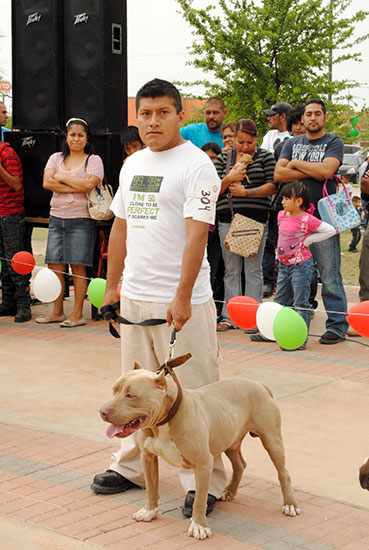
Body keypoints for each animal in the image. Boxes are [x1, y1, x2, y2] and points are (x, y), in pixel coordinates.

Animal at [98, 356, 300, 540]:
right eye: (114, 390)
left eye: (131, 395)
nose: (102, 411)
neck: (165, 420)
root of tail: (260, 385)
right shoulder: (148, 458)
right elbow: (151, 488)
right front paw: (149, 511)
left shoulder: (203, 465)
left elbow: (199, 499)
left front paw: (199, 526)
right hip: (230, 439)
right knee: (239, 464)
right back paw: (230, 491)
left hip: (272, 441)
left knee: (283, 473)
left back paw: (289, 504)